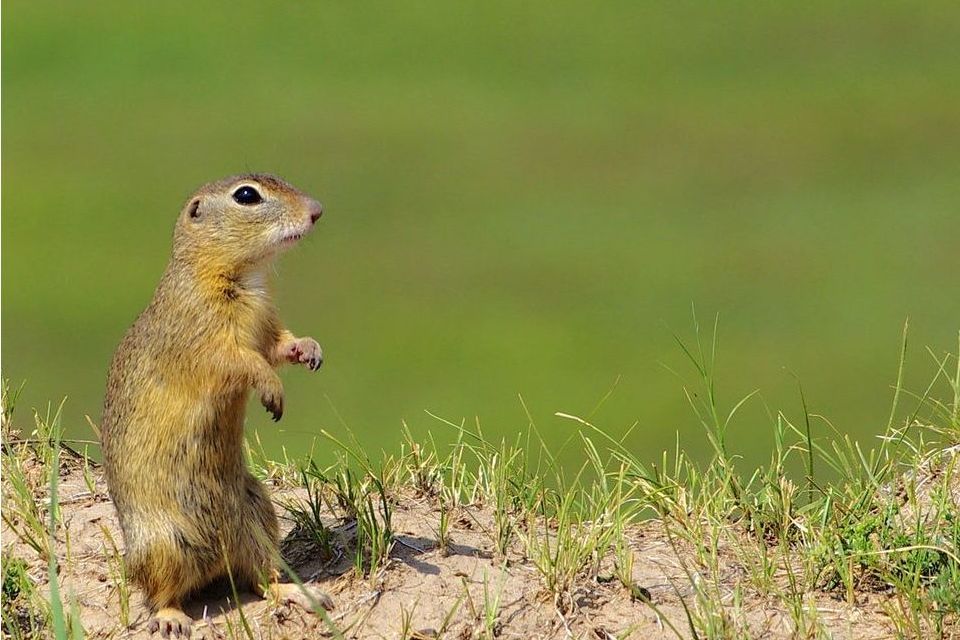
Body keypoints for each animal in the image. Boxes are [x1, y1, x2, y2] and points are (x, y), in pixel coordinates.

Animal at [101, 172, 334, 636]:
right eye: (247, 195)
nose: (316, 210)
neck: (245, 276)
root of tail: (214, 564)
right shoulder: (205, 333)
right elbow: (240, 361)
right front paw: (272, 391)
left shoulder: (266, 322)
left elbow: (278, 344)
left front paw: (310, 349)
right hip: (164, 545)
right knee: (159, 593)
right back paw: (171, 618)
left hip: (259, 517)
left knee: (261, 579)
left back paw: (304, 593)